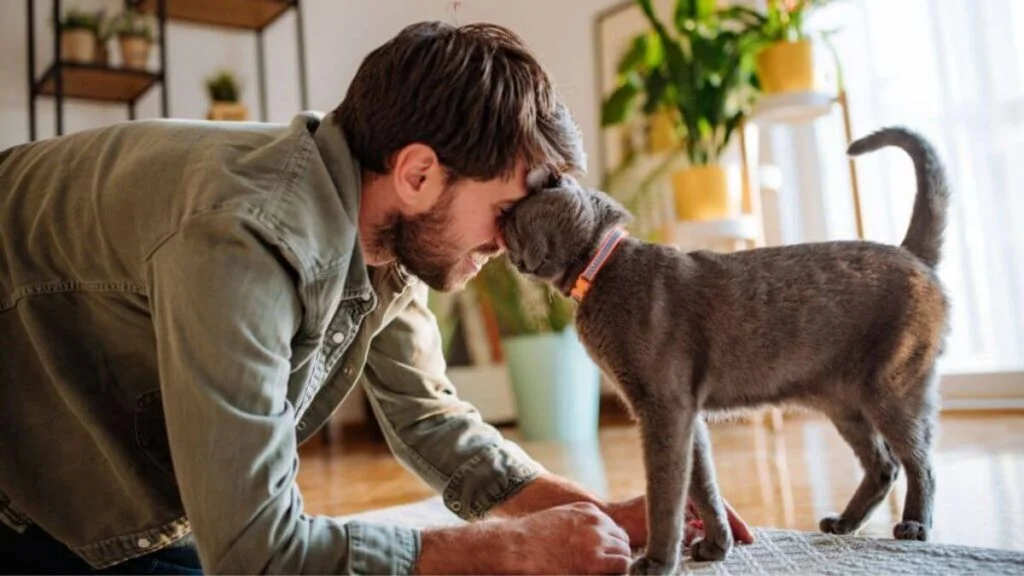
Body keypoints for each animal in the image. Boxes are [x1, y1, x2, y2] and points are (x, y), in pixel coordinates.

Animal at [503, 127, 950, 569]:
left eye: (513, 224)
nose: (510, 256)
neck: (600, 271)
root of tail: (910, 253)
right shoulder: (686, 412)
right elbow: (701, 484)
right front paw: (717, 545)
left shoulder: (664, 408)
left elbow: (665, 492)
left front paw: (658, 561)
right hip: (843, 403)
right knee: (885, 465)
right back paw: (844, 522)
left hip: (891, 389)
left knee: (919, 461)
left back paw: (914, 526)